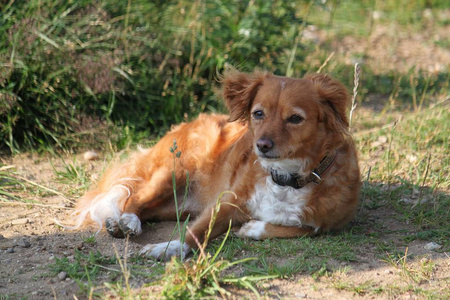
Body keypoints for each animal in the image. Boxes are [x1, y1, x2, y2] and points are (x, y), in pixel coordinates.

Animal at [75, 69, 360, 260]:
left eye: (295, 118)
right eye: (258, 113)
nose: (262, 145)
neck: (286, 178)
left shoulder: (329, 222)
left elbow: (306, 229)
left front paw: (252, 228)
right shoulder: (227, 202)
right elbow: (198, 231)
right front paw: (167, 248)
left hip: (177, 206)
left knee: (150, 209)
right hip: (173, 173)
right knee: (135, 199)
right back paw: (126, 222)